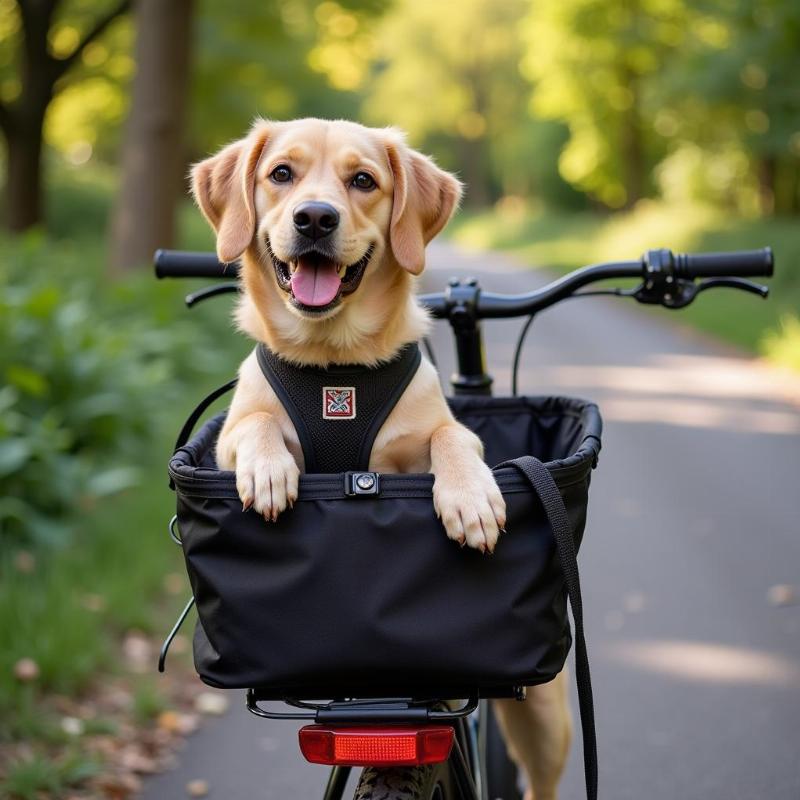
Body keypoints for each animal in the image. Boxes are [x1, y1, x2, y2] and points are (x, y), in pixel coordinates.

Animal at [191, 119, 572, 800]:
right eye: (281, 174)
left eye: (363, 180)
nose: (316, 217)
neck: (332, 365)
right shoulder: (233, 431)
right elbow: (257, 423)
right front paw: (269, 470)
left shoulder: (449, 430)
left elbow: (452, 439)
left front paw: (471, 498)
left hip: (546, 718)